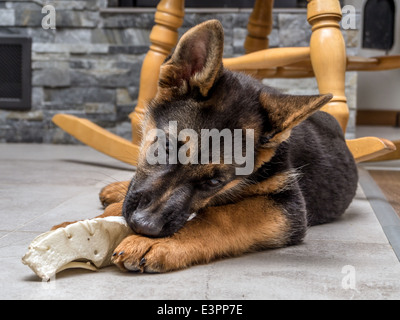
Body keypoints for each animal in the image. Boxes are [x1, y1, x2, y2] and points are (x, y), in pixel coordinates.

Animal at [54, 20, 358, 272]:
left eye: (214, 182)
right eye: (166, 148)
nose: (145, 226)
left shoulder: (288, 206)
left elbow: (222, 216)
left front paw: (157, 242)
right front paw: (77, 226)